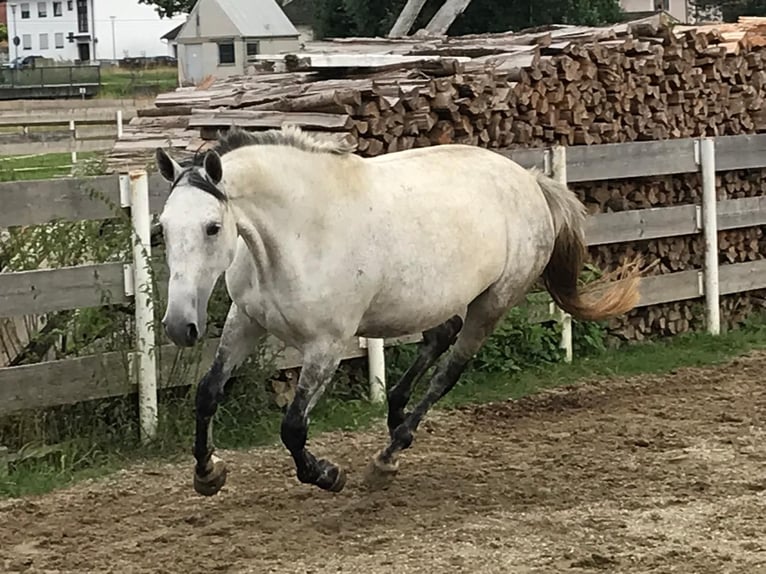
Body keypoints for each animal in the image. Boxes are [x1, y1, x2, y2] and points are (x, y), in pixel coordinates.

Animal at [156, 124, 640, 498]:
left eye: (212, 227)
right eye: (163, 227)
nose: (179, 326)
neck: (301, 232)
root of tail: (530, 180)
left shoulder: (327, 346)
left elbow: (292, 426)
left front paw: (327, 474)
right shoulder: (246, 320)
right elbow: (208, 392)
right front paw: (208, 473)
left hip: (493, 302)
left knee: (450, 371)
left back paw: (390, 453)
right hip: (440, 298)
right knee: (440, 336)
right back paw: (395, 416)